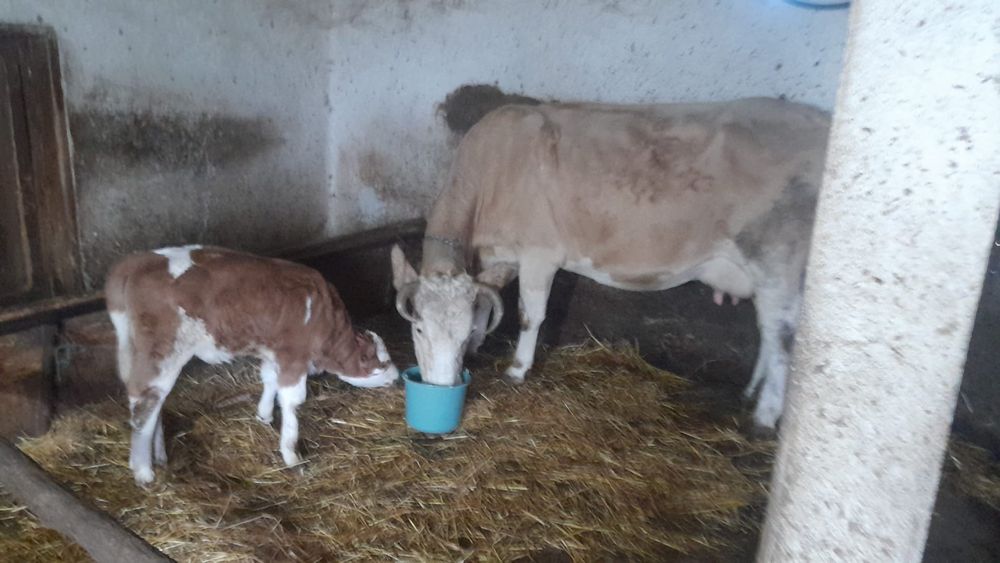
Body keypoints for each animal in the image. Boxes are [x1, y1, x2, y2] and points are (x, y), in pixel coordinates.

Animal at [105, 245, 399, 484]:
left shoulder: (273, 353)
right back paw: (143, 471)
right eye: (383, 360)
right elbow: (292, 401)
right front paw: (291, 455)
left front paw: (264, 415)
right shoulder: (294, 355)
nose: (397, 376)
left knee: (153, 400)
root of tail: (134, 262)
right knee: (145, 401)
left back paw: (159, 456)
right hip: (163, 349)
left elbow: (269, 381)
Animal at [391, 97, 829, 430]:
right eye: (419, 328)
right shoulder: (502, 256)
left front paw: (516, 368)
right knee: (769, 332)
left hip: (778, 259)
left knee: (782, 336)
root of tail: (815, 118)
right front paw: (481, 343)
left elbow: (530, 315)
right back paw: (752, 392)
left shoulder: (539, 253)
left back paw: (766, 414)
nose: (442, 386)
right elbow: (486, 300)